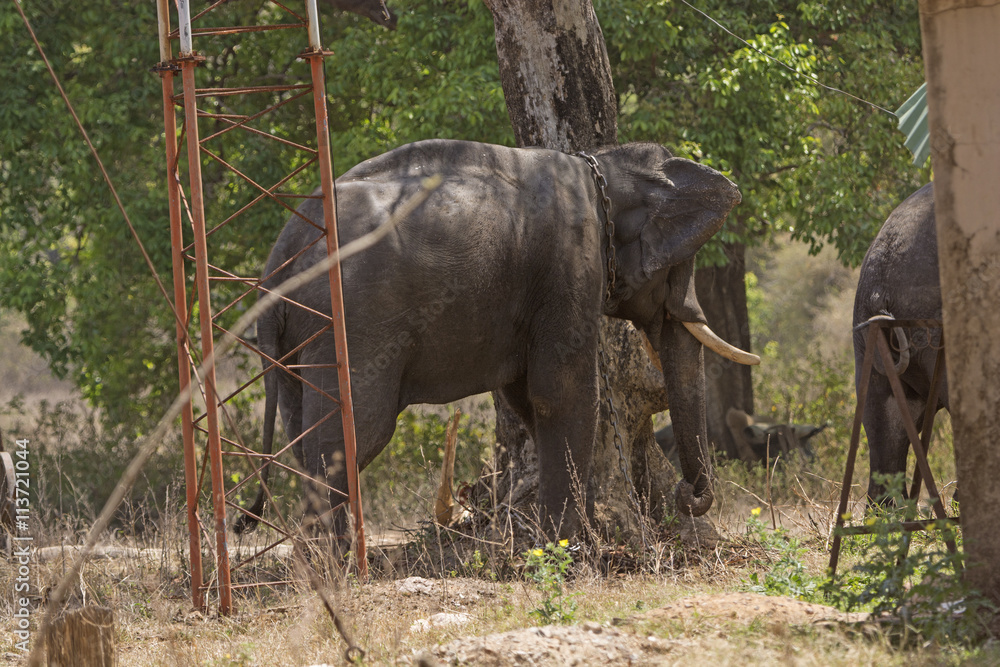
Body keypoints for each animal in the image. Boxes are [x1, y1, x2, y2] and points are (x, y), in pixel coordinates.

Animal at [235, 139, 757, 539]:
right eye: (679, 266)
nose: (687, 494)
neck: (602, 167)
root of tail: (278, 261)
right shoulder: (569, 266)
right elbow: (561, 393)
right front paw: (572, 547)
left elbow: (525, 397)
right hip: (353, 326)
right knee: (353, 435)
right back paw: (336, 569)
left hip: (297, 340)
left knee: (301, 439)